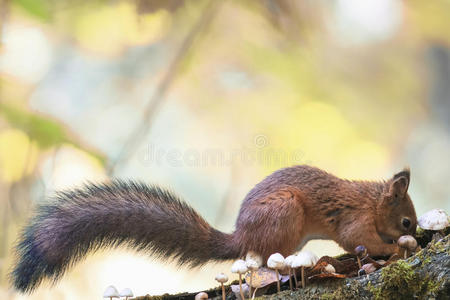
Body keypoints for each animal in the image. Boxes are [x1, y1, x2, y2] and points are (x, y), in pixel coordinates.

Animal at [11, 164, 418, 292]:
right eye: (406, 221)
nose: (411, 233)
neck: (372, 201)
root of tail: (242, 235)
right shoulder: (354, 220)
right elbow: (356, 240)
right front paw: (392, 249)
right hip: (284, 215)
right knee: (268, 263)